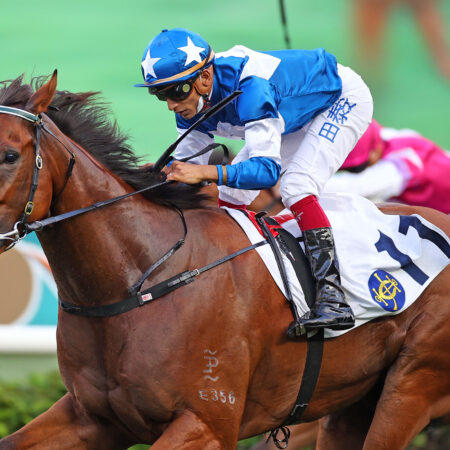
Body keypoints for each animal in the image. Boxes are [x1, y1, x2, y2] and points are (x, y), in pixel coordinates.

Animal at [0, 72, 448, 448]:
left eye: (8, 155)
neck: (139, 281)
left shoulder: (207, 423)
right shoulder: (92, 417)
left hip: (410, 385)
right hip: (350, 402)